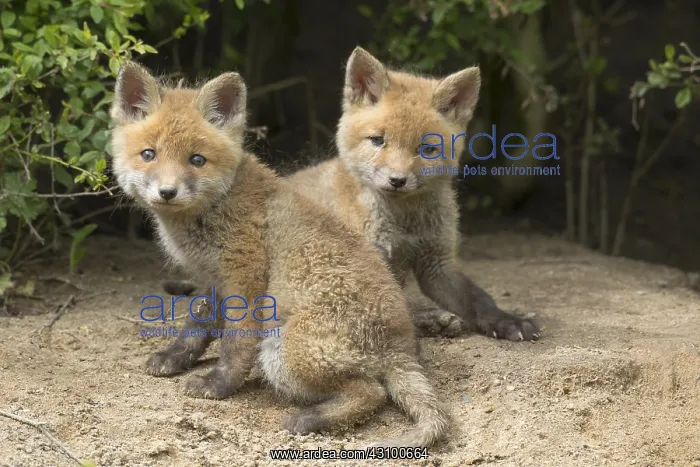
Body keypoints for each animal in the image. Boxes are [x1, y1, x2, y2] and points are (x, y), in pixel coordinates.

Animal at [109, 61, 450, 448]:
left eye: (196, 160)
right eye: (148, 154)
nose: (167, 192)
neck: (216, 208)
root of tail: (402, 346)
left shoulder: (245, 277)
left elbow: (235, 345)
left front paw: (218, 385)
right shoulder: (214, 280)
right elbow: (196, 324)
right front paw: (174, 358)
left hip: (281, 349)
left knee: (372, 392)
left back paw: (309, 419)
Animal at [288, 47, 540, 342]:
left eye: (427, 149)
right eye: (377, 140)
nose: (397, 180)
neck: (404, 223)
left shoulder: (437, 263)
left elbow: (479, 298)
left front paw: (508, 320)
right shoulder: (359, 268)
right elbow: (395, 305)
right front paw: (428, 319)